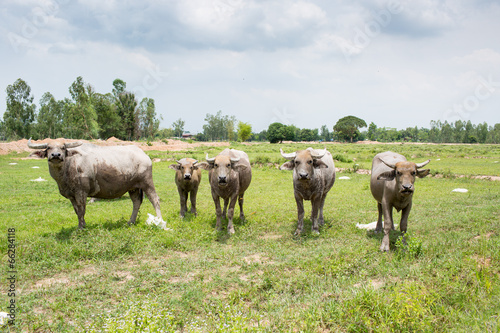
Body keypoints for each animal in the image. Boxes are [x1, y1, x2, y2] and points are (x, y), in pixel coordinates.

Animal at [27, 138, 162, 228]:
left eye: (63, 148)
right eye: (48, 148)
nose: (56, 155)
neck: (68, 167)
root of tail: (143, 154)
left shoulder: (81, 192)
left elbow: (82, 209)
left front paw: (81, 227)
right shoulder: (71, 195)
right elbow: (76, 211)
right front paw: (81, 224)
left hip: (147, 182)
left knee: (155, 200)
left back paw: (159, 221)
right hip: (133, 187)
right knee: (136, 202)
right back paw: (131, 222)